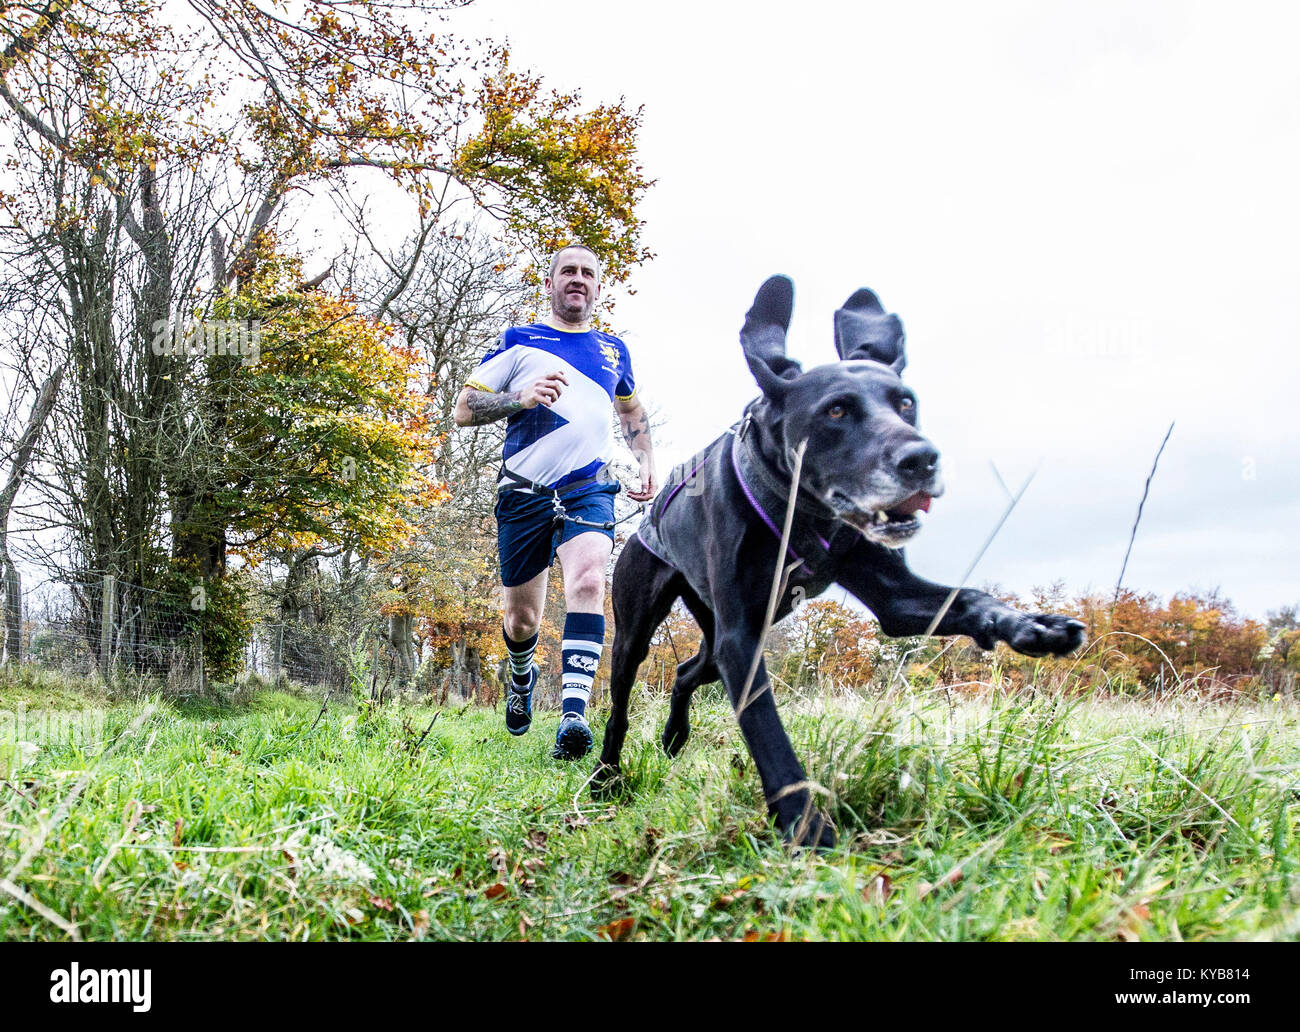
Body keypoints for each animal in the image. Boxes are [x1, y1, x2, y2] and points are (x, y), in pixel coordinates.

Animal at [592, 272, 1086, 842]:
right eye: (835, 410)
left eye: (906, 403)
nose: (923, 459)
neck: (807, 512)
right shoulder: (742, 641)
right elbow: (770, 738)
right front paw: (808, 832)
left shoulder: (892, 599)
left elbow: (969, 597)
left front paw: (1032, 625)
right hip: (637, 629)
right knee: (622, 705)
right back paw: (605, 777)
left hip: (718, 636)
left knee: (687, 670)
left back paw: (674, 736)